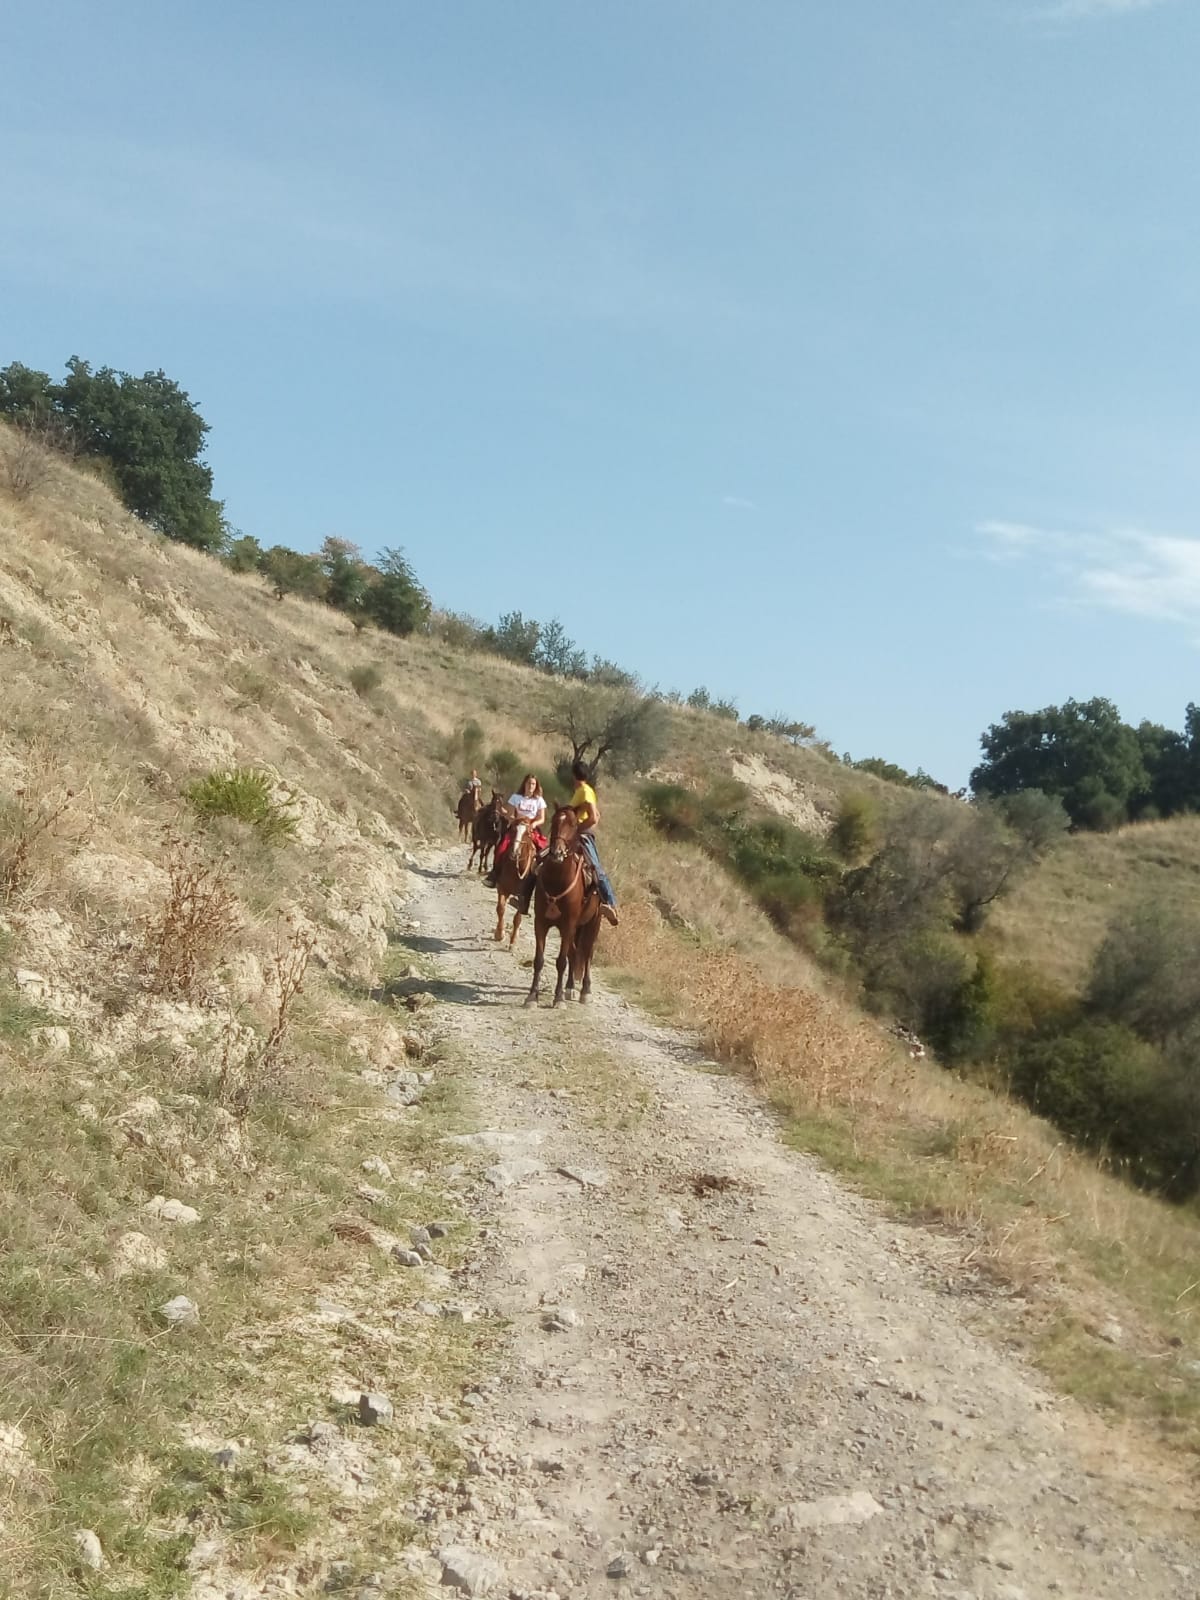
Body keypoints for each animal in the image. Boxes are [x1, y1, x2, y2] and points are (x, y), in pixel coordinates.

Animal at [525, 803, 601, 1008]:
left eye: (573, 825)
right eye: (554, 821)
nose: (557, 853)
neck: (558, 880)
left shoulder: (567, 925)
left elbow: (561, 962)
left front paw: (558, 998)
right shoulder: (541, 923)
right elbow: (539, 960)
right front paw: (532, 996)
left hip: (592, 924)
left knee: (588, 955)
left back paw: (585, 991)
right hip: (576, 929)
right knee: (574, 954)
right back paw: (570, 988)